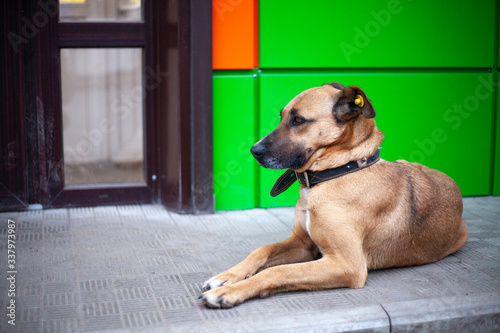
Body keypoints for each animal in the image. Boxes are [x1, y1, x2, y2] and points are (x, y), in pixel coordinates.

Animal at [200, 81, 468, 308]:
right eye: (282, 117)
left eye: (298, 120)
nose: (254, 151)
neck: (336, 171)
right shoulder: (304, 243)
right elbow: (261, 250)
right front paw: (227, 277)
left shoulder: (346, 264)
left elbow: (279, 270)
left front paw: (230, 292)